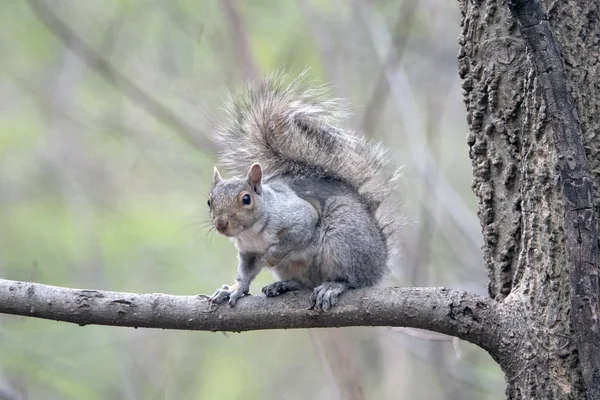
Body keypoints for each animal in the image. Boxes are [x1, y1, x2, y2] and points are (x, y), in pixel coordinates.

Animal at [206, 72, 398, 310]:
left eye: (246, 199)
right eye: (209, 201)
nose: (221, 224)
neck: (252, 233)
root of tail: (380, 262)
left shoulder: (300, 218)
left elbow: (292, 238)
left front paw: (270, 257)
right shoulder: (248, 252)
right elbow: (246, 273)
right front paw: (234, 289)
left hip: (344, 237)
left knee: (354, 280)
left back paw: (332, 286)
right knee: (307, 283)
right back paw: (285, 285)